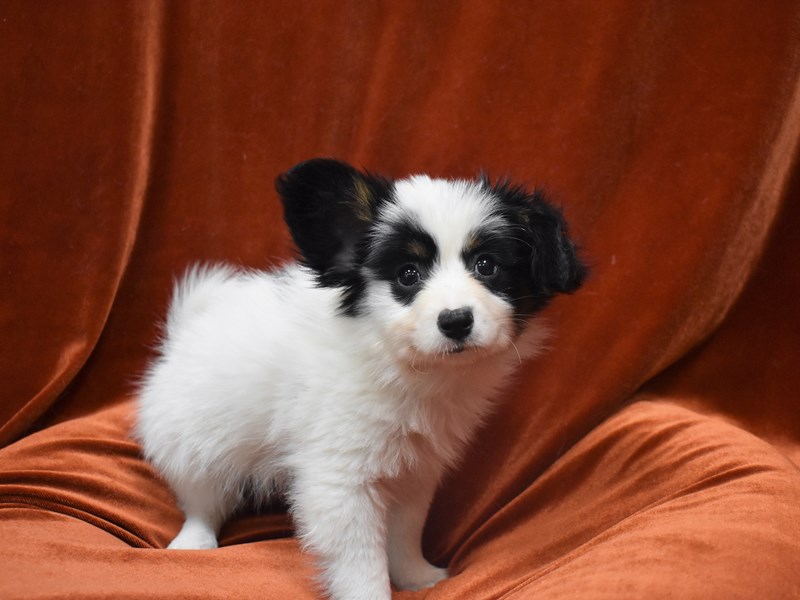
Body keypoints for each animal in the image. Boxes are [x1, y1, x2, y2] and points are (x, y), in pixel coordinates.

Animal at [136, 157, 588, 596]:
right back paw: (195, 540)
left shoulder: (414, 470)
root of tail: (182, 333)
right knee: (202, 498)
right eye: (407, 274)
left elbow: (405, 531)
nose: (456, 320)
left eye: (487, 266)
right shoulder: (340, 480)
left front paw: (416, 576)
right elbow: (360, 560)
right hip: (194, 440)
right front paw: (373, 591)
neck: (408, 368)